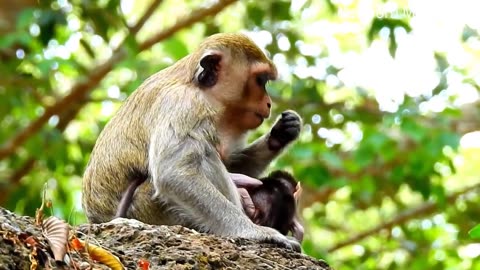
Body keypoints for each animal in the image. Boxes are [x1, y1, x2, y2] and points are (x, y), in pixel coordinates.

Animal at [81, 33, 300, 251]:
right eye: (260, 80)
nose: (268, 103)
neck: (196, 86)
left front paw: (281, 133)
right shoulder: (184, 105)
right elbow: (174, 173)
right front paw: (257, 231)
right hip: (150, 209)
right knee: (205, 155)